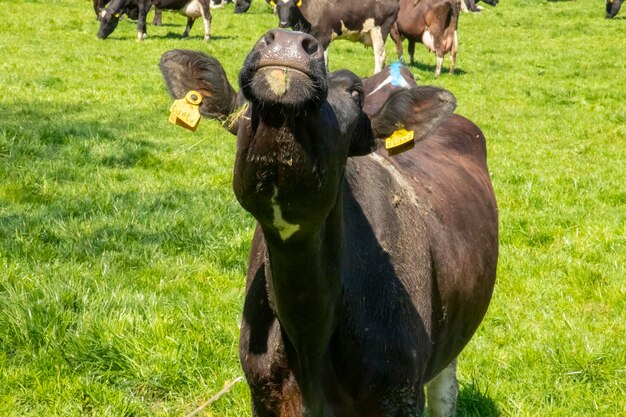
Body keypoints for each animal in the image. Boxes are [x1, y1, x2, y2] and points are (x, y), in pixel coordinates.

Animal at [160, 29, 498, 416]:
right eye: (243, 101)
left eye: (354, 93)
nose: (288, 39)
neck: (310, 333)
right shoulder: (264, 392)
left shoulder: (399, 393)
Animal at [266, 0, 398, 74]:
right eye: (278, 6)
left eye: (292, 6)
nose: (283, 23)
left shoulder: (323, 38)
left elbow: (323, 61)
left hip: (378, 31)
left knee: (380, 56)